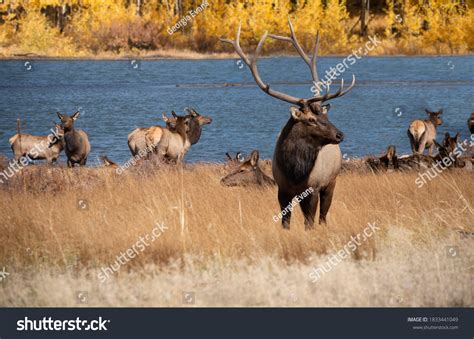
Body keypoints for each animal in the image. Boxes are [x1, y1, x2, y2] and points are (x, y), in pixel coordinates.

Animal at [220, 17, 354, 231]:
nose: (340, 134)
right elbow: (285, 221)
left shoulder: (312, 187)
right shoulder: (282, 189)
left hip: (331, 181)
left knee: (323, 214)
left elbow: (309, 222)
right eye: (311, 120)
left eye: (325, 117)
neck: (295, 172)